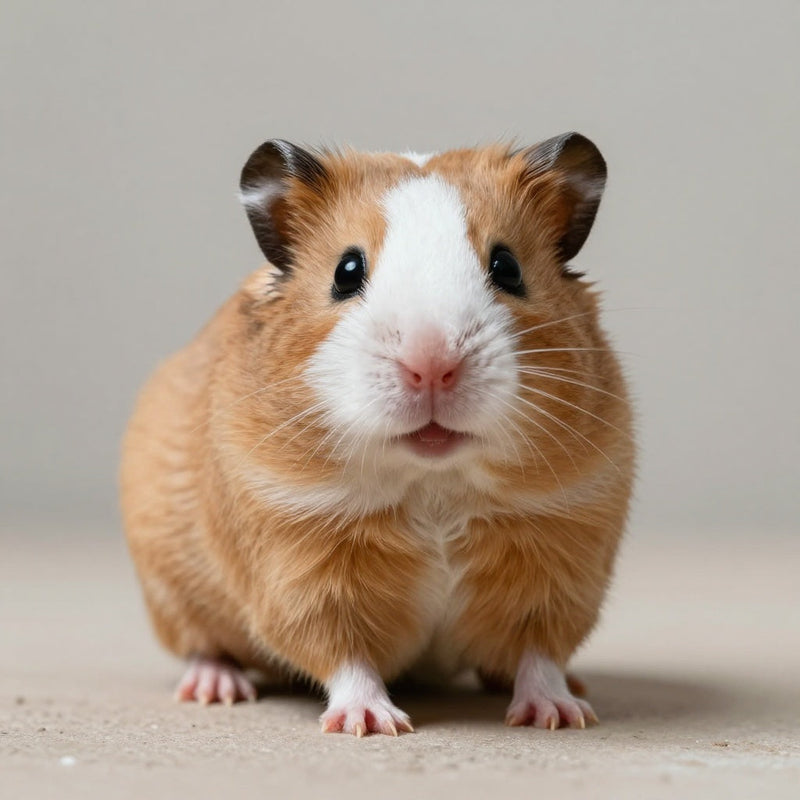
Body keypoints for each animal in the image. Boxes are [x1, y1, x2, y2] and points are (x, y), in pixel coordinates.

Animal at [120, 133, 635, 736]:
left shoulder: (560, 555)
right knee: (205, 647)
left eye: (507, 267)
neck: (433, 483)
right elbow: (344, 654)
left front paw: (558, 717)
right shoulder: (300, 563)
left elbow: (540, 654)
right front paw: (373, 725)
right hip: (174, 593)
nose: (431, 366)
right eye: (346, 271)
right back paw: (217, 690)